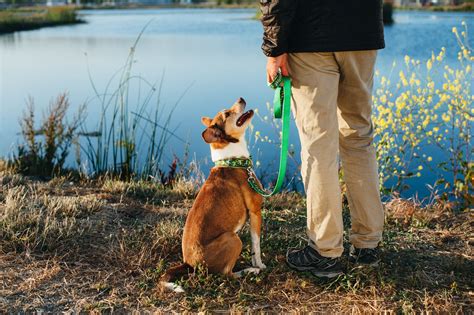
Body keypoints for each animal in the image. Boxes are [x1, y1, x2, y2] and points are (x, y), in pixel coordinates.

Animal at [161, 97, 266, 292]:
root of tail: (189, 265)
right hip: (233, 238)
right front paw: (259, 264)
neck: (231, 160)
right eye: (227, 113)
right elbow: (256, 244)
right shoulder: (256, 211)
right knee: (227, 274)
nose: (241, 98)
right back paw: (250, 271)